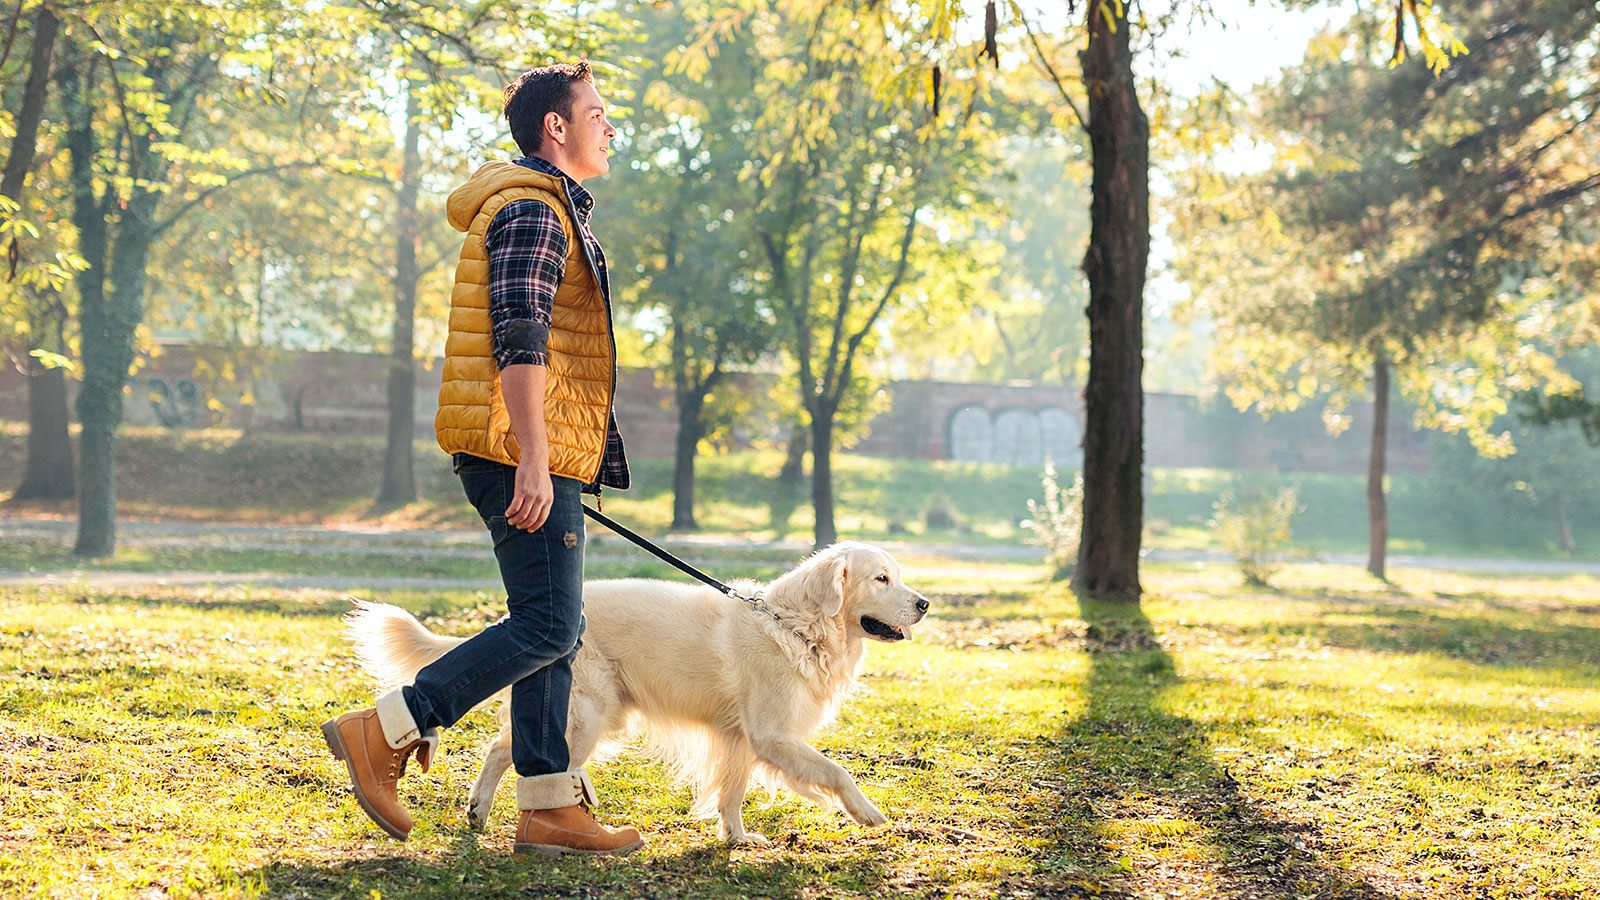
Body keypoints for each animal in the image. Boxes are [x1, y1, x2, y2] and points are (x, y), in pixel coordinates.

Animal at [344, 538, 934, 839]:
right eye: (881, 578)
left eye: (899, 575)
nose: (925, 603)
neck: (796, 626)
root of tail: (524, 618)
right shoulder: (771, 734)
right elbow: (835, 772)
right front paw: (867, 812)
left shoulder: (742, 739)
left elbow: (732, 794)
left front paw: (737, 839)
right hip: (589, 715)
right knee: (515, 755)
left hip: (591, 715)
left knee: (503, 749)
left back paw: (481, 812)